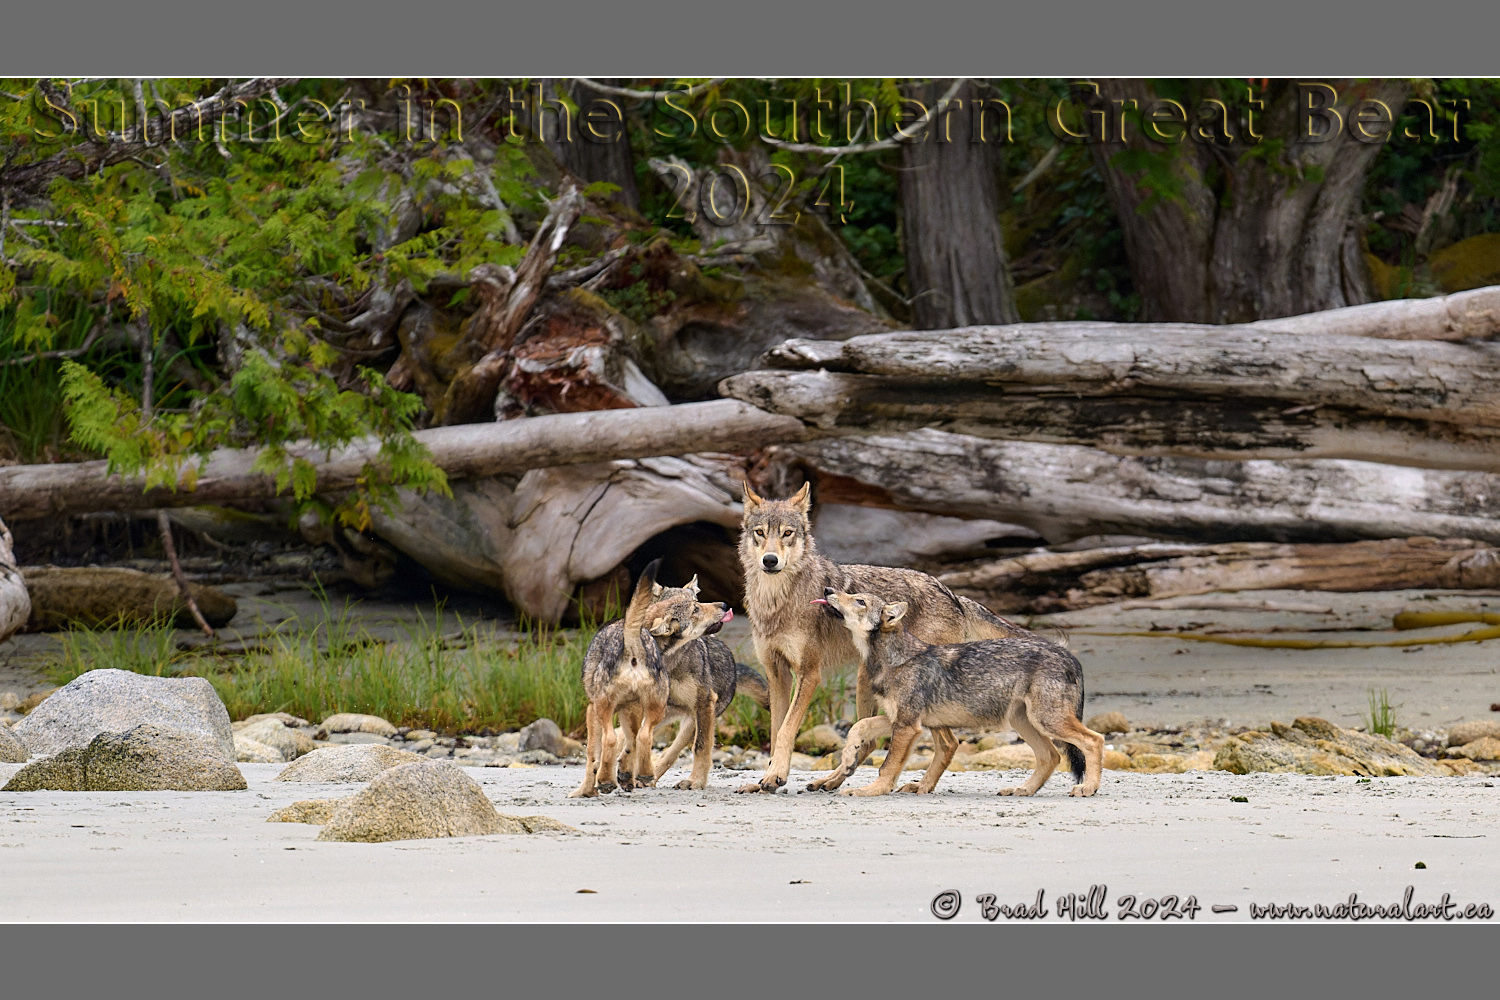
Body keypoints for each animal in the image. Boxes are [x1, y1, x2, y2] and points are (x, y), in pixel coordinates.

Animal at [735, 479, 1032, 791]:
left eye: (787, 533)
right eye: (760, 533)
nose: (770, 560)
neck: (776, 602)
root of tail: (952, 594)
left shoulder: (809, 673)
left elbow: (786, 729)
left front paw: (775, 776)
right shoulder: (776, 673)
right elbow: (776, 728)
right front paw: (765, 777)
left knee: (945, 742)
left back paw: (915, 786)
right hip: (867, 681)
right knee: (876, 743)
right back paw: (833, 781)